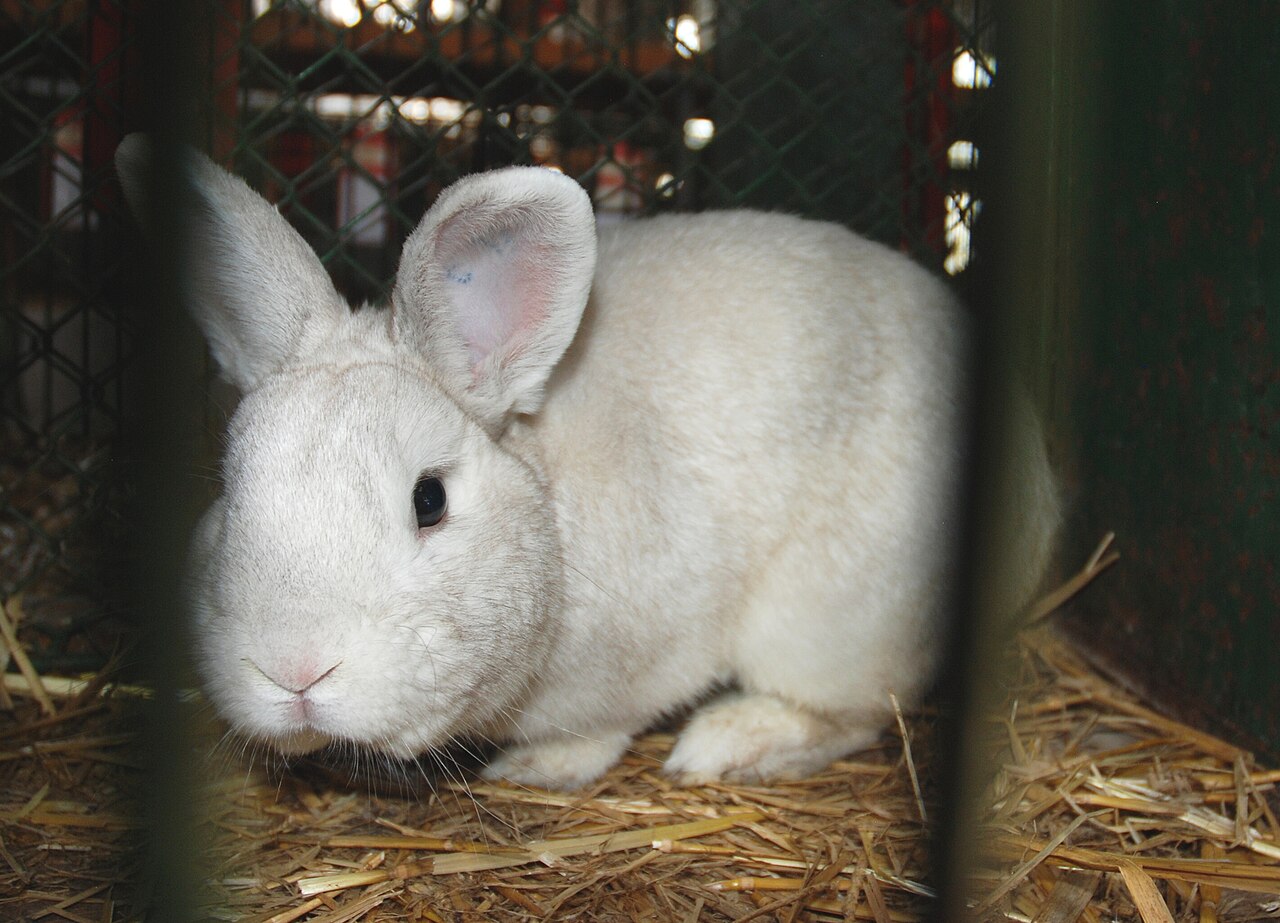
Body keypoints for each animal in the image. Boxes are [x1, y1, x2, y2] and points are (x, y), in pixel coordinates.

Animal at [115, 133, 1059, 790]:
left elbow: (600, 728)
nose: (294, 669)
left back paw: (729, 742)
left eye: (429, 500)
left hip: (833, 619)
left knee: (855, 711)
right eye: (229, 491)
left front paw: (539, 767)